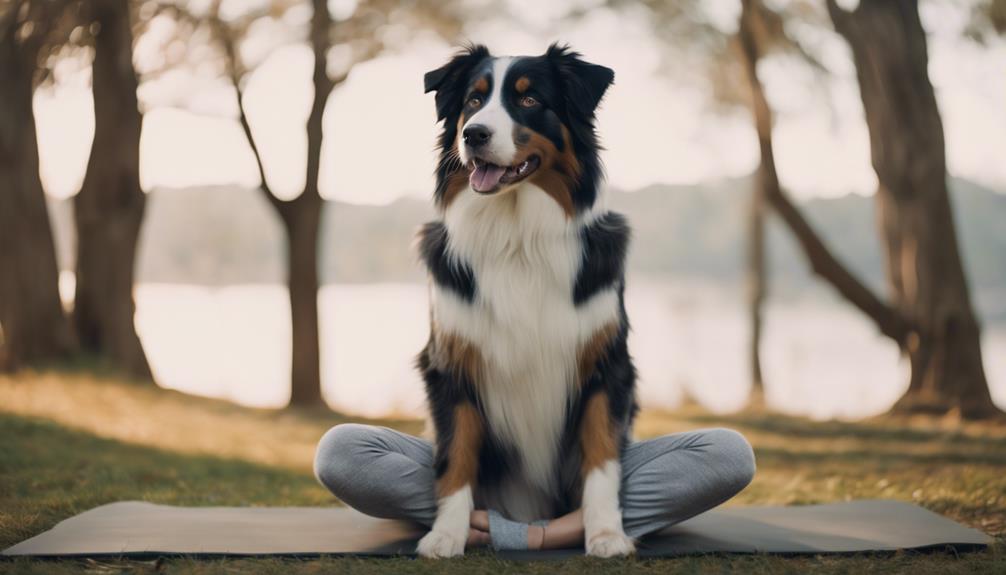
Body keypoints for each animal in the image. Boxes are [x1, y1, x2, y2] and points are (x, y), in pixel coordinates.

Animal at [412, 43, 631, 558]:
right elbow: (456, 455)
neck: (517, 237)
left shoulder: (607, 364)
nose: (473, 134)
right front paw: (445, 535)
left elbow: (601, 456)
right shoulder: (449, 363)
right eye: (473, 100)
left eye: (530, 101)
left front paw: (606, 534)